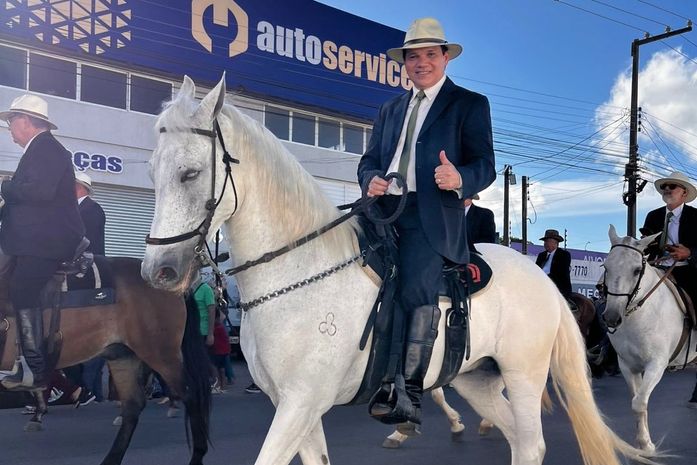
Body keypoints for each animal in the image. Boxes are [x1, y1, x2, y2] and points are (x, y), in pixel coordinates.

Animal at [140, 76, 652, 464]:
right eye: (152, 171)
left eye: (190, 173)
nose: (158, 272)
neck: (302, 275)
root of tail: (540, 278)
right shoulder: (298, 408)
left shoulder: (301, 403)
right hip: (475, 377)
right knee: (517, 438)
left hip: (523, 373)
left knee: (530, 444)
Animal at [604, 225, 696, 450]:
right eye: (606, 267)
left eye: (637, 270)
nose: (611, 318)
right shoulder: (628, 365)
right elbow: (638, 400)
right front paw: (642, 440)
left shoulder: (657, 364)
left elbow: (639, 403)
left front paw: (646, 445)